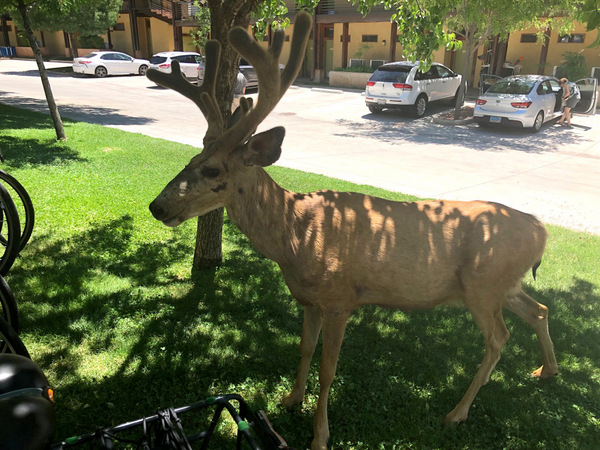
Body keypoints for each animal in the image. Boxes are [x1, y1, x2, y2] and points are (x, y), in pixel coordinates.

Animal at [148, 11, 560, 450]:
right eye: (193, 157)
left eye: (212, 170)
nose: (158, 206)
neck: (296, 236)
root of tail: (541, 231)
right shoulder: (309, 300)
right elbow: (304, 349)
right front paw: (291, 399)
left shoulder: (340, 299)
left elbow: (329, 369)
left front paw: (320, 435)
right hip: (502, 284)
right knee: (539, 310)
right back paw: (546, 371)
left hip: (483, 285)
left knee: (499, 338)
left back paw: (457, 412)